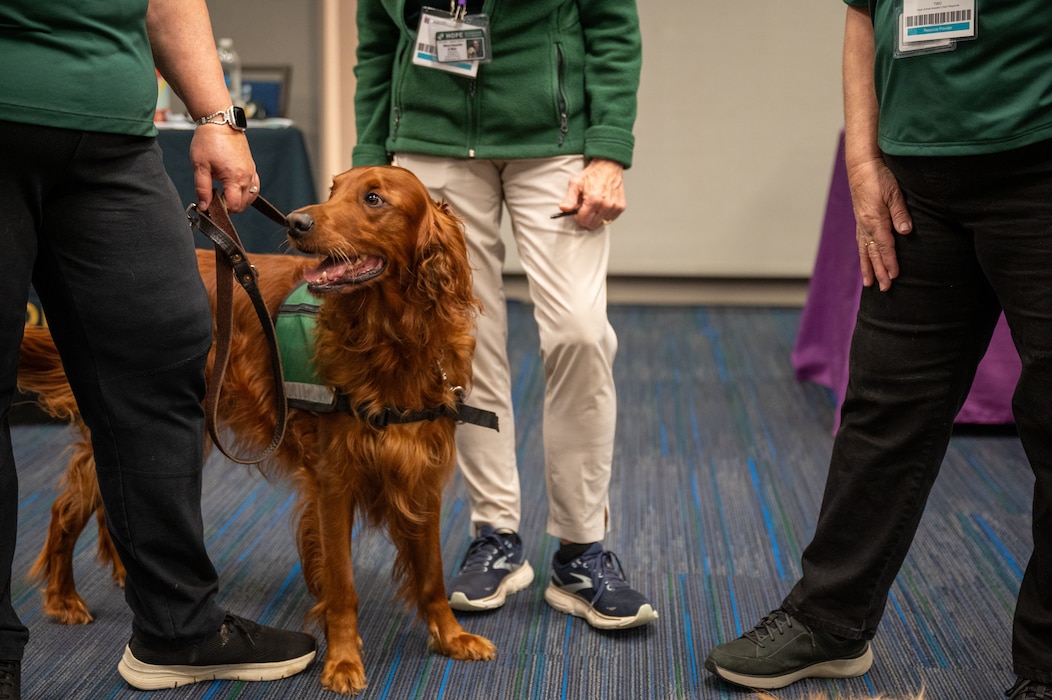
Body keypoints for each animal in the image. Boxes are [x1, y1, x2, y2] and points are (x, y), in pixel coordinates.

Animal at [18, 165, 496, 694]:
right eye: (334, 189)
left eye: (373, 198)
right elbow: (343, 585)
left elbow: (432, 576)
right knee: (66, 508)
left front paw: (451, 637)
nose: (296, 222)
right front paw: (343, 660)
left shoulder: (422, 474)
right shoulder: (334, 482)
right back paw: (62, 599)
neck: (391, 339)